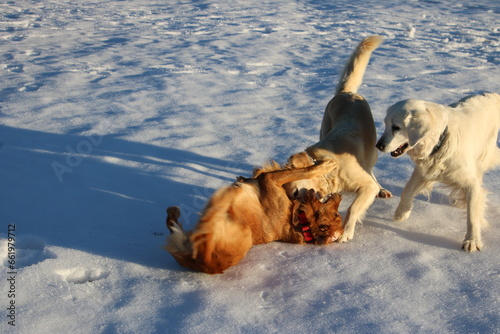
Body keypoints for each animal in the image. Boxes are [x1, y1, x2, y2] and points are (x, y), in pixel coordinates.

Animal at [166, 159, 342, 274]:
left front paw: (325, 165)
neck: (299, 220)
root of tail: (202, 262)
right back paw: (173, 213)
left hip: (239, 229)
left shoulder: (269, 179)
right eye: (336, 213)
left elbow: (301, 171)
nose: (339, 196)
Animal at [286, 35, 390, 243]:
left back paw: (381, 188)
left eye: (295, 192)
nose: (298, 215)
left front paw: (346, 232)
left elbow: (354, 207)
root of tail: (346, 92)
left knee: (371, 170)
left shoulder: (366, 186)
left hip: (371, 151)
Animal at [376, 92, 500, 252]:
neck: (440, 141)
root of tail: (492, 94)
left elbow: (472, 214)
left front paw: (472, 240)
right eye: (385, 124)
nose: (378, 145)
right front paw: (402, 213)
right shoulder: (424, 170)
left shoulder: (470, 181)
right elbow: (407, 191)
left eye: (396, 127)